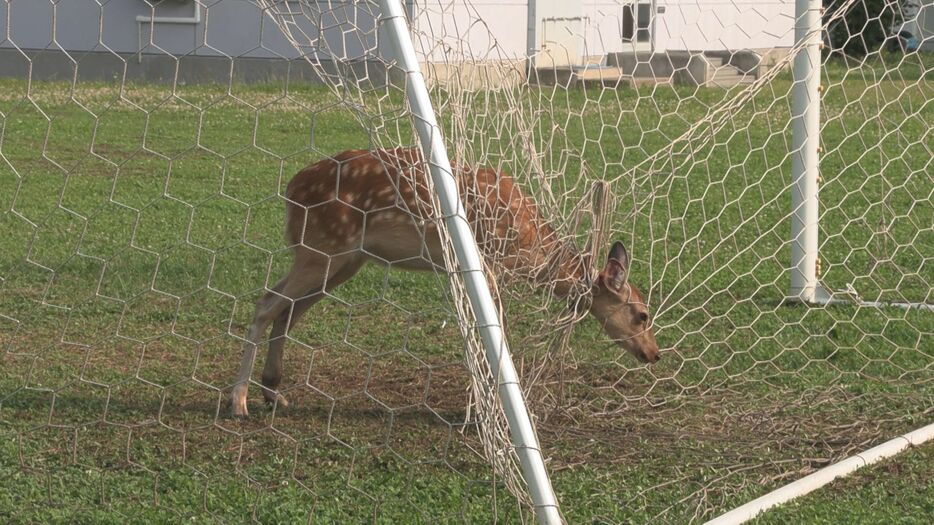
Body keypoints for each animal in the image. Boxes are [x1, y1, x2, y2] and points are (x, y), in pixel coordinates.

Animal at [230, 148, 660, 418]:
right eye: (642, 314)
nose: (655, 353)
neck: (531, 250)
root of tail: (291, 190)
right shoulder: (488, 264)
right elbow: (494, 330)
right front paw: (489, 405)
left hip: (342, 260)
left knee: (287, 310)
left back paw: (273, 393)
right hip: (323, 246)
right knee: (267, 303)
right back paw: (240, 401)